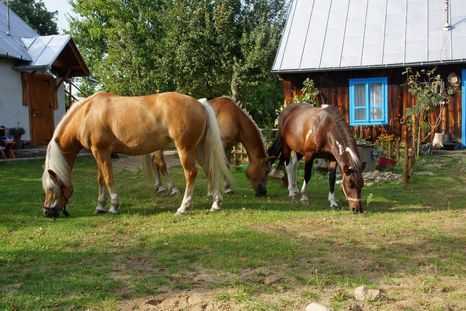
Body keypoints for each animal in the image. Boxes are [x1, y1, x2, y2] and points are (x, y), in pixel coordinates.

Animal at [41, 91, 233, 218]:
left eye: (51, 188)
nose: (46, 211)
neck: (86, 114)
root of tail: (199, 103)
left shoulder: (102, 152)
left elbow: (108, 178)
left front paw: (113, 206)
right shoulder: (97, 154)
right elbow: (101, 179)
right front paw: (100, 206)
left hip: (185, 149)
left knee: (191, 173)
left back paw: (183, 207)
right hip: (198, 148)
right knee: (211, 171)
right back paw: (216, 203)